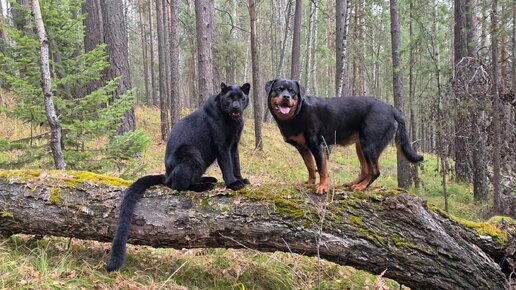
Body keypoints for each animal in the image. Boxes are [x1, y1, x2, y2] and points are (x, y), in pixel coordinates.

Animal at [106, 82, 251, 272]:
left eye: (241, 98)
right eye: (229, 98)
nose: (235, 107)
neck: (233, 122)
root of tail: (165, 175)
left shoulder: (234, 145)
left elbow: (237, 163)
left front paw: (241, 179)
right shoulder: (222, 146)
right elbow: (227, 166)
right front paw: (233, 184)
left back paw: (209, 180)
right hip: (192, 153)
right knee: (178, 185)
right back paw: (205, 186)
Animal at [266, 78, 424, 194]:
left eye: (292, 92)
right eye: (279, 89)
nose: (286, 97)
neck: (297, 114)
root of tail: (392, 109)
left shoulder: (318, 145)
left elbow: (322, 169)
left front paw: (322, 187)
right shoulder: (303, 148)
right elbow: (310, 166)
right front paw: (310, 182)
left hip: (370, 145)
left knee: (375, 171)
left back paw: (361, 187)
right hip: (361, 146)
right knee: (365, 170)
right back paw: (352, 183)